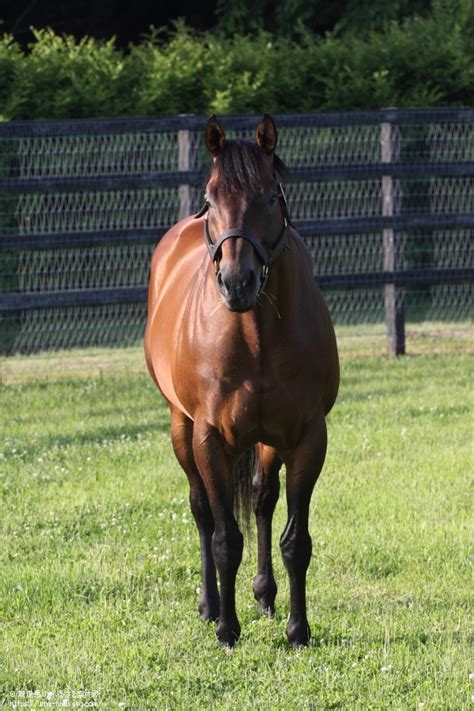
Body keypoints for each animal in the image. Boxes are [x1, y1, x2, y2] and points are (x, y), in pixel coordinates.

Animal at [143, 114, 336, 648]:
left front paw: (298, 629)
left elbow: (295, 539)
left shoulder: (307, 437)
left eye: (270, 196)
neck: (257, 336)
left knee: (264, 500)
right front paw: (227, 629)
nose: (236, 282)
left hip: (268, 440)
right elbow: (225, 536)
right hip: (181, 426)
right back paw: (211, 604)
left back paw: (265, 596)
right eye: (211, 199)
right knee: (203, 512)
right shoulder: (210, 438)